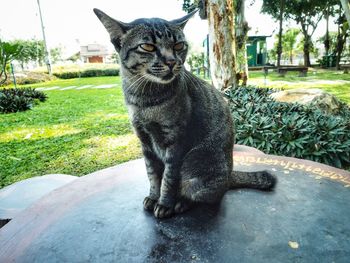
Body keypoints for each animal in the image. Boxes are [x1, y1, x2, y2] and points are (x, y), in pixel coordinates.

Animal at [93, 8, 276, 220]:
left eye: (179, 45)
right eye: (147, 46)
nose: (172, 61)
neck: (144, 100)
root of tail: (229, 175)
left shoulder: (175, 142)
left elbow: (168, 178)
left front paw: (164, 204)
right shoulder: (145, 142)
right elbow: (153, 175)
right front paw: (153, 197)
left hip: (194, 170)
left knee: (205, 195)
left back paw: (182, 203)